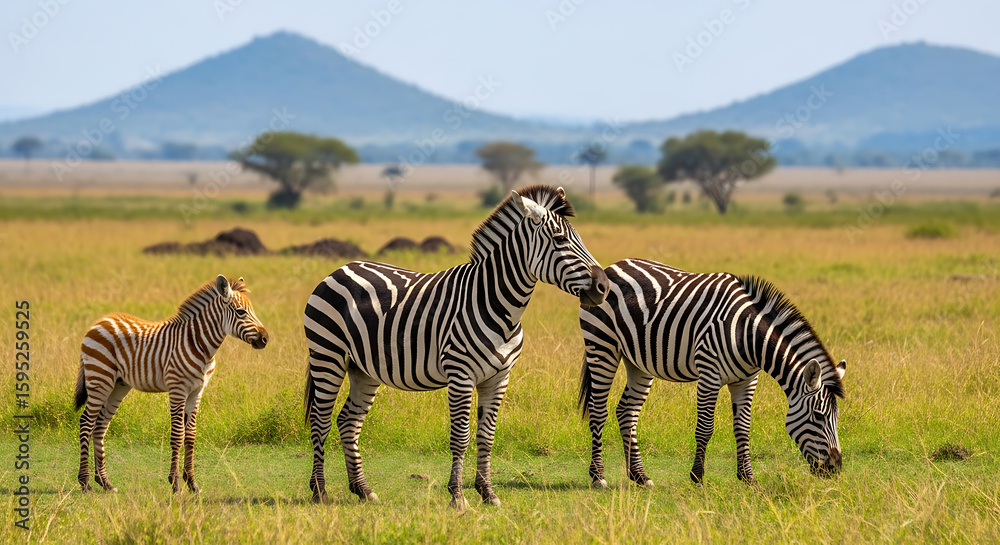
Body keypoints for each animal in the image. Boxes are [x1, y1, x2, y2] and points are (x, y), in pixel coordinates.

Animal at [74, 275, 268, 494]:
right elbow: (177, 435)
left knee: (100, 425)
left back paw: (106, 482)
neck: (199, 344)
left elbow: (190, 435)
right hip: (100, 378)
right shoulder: (178, 389)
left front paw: (192, 483)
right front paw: (175, 484)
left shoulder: (197, 391)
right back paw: (85, 483)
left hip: (118, 386)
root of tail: (99, 322)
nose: (265, 338)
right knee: (86, 422)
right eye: (241, 312)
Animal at [303, 185, 609, 508]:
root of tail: (340, 269)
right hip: (328, 356)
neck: (497, 305)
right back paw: (320, 491)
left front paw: (487, 492)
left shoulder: (499, 378)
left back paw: (363, 489)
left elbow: (487, 436)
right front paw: (458, 496)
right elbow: (461, 436)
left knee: (348, 421)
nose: (604, 288)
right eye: (560, 239)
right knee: (320, 421)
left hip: (363, 369)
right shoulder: (460, 375)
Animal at [578, 258, 846, 488]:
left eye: (836, 418)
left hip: (639, 362)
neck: (748, 335)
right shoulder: (709, 375)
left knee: (627, 412)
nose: (835, 468)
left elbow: (743, 427)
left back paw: (639, 476)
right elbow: (705, 428)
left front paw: (747, 477)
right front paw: (697, 476)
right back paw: (598, 476)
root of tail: (612, 267)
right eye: (819, 416)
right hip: (601, 345)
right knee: (598, 410)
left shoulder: (747, 380)